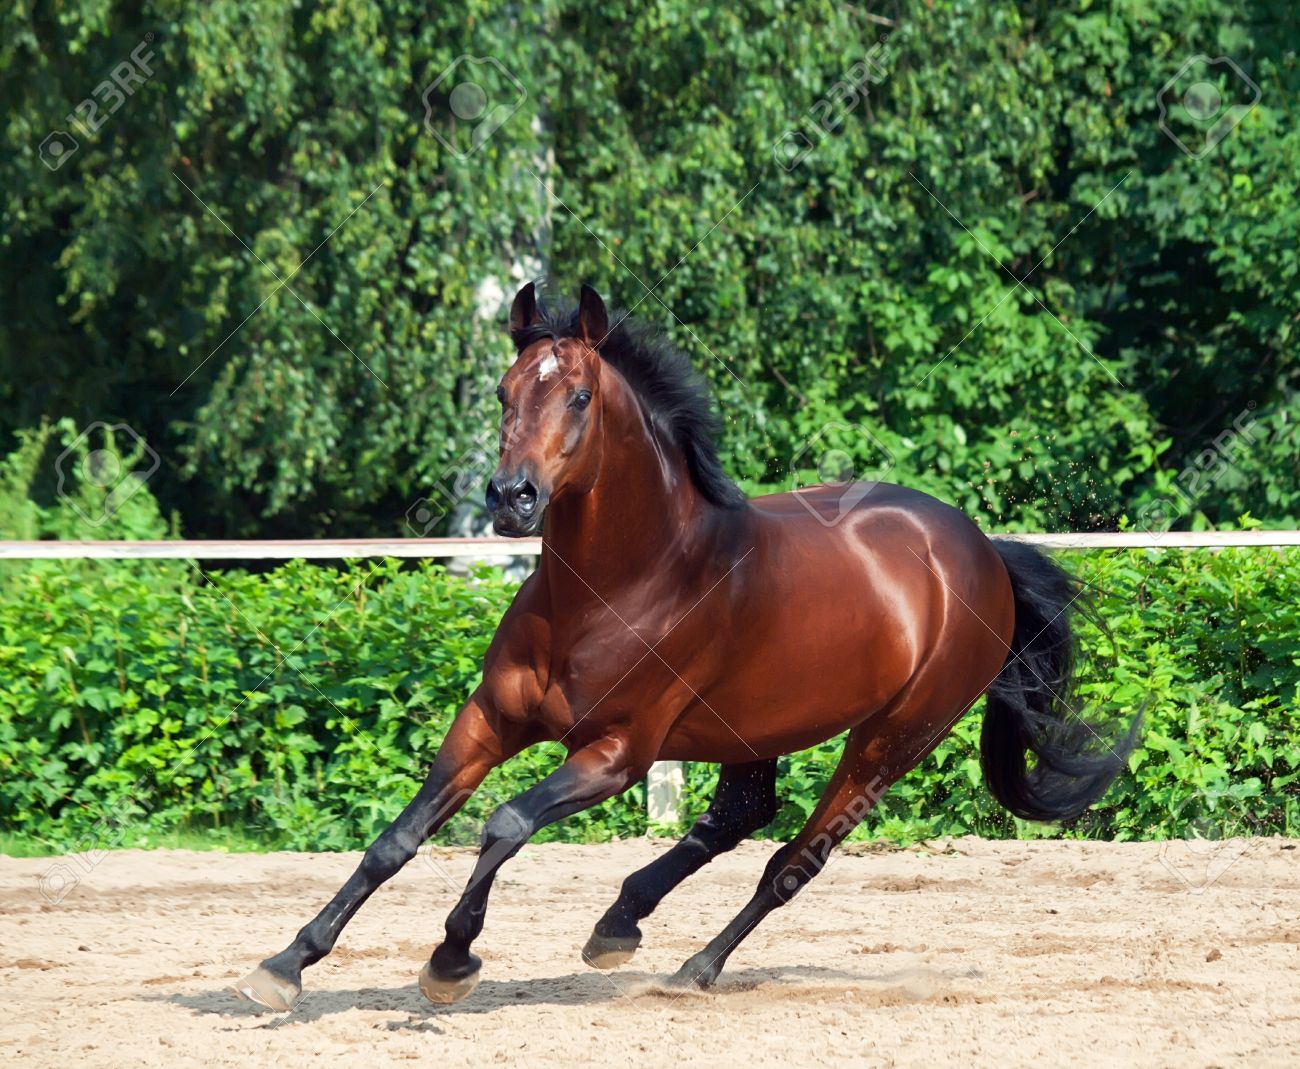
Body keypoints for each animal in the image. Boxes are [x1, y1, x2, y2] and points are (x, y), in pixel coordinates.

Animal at [236, 281, 1139, 1010]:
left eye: (578, 396)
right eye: (502, 392)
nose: (511, 498)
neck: (622, 583)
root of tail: (979, 551)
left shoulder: (618, 753)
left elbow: (505, 823)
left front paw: (451, 960)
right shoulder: (489, 720)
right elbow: (397, 838)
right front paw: (285, 964)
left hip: (893, 739)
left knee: (793, 858)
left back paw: (694, 968)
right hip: (759, 726)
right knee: (739, 815)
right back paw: (620, 921)